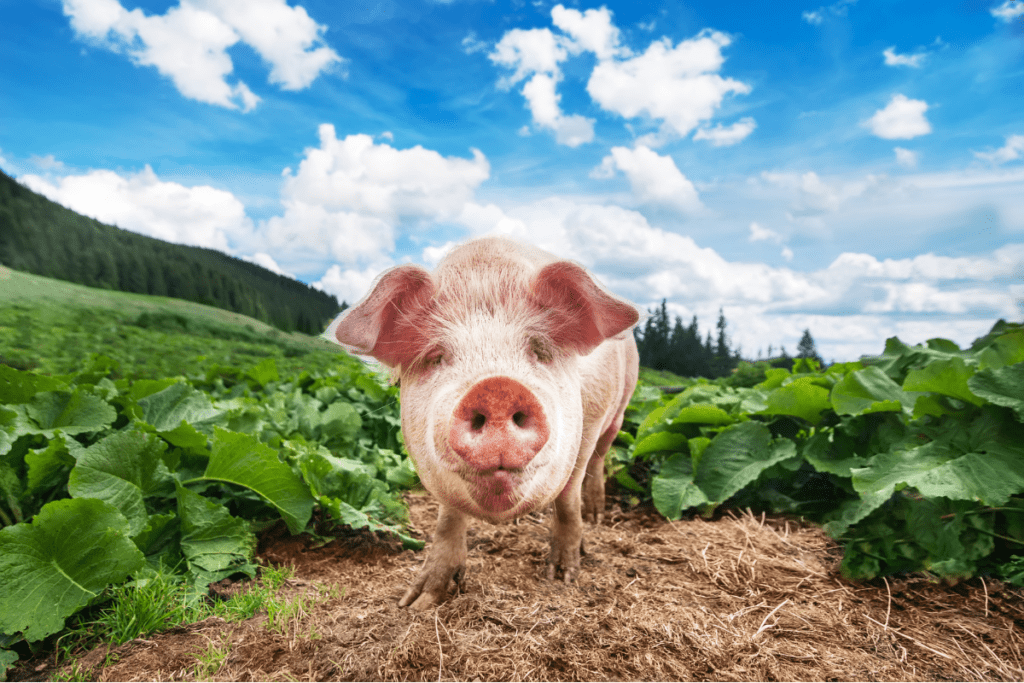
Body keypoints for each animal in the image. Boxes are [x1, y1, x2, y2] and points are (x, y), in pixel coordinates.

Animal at [326, 236, 639, 610]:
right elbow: (447, 518)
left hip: (619, 411)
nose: (496, 388)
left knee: (600, 459)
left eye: (540, 351)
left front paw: (563, 576)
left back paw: (595, 515)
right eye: (436, 356)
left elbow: (567, 496)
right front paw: (416, 603)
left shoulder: (590, 423)